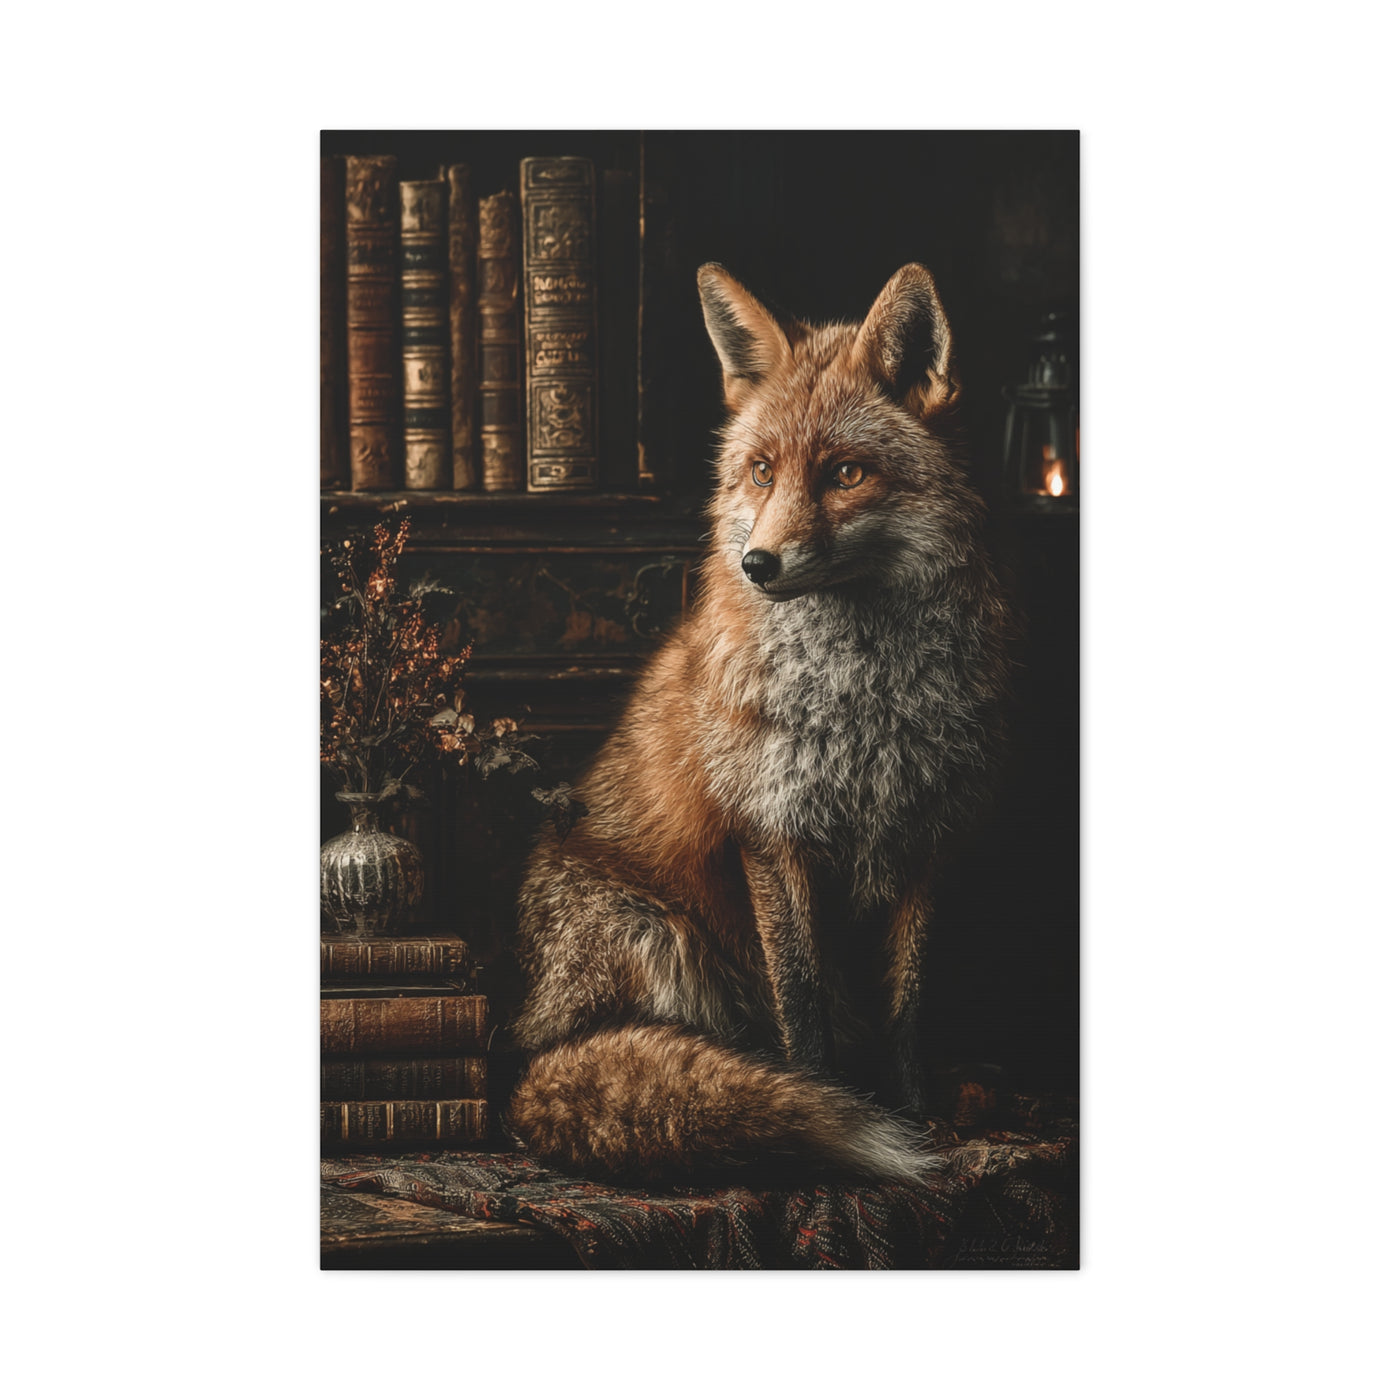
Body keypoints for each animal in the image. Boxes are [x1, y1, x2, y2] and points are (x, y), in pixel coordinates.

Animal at [507, 262, 1012, 1185]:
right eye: (762, 471)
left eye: (846, 474)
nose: (757, 564)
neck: (867, 705)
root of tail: (522, 1060)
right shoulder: (774, 834)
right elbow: (802, 1004)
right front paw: (830, 1103)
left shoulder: (927, 839)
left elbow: (907, 1007)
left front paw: (915, 1110)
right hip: (658, 934)